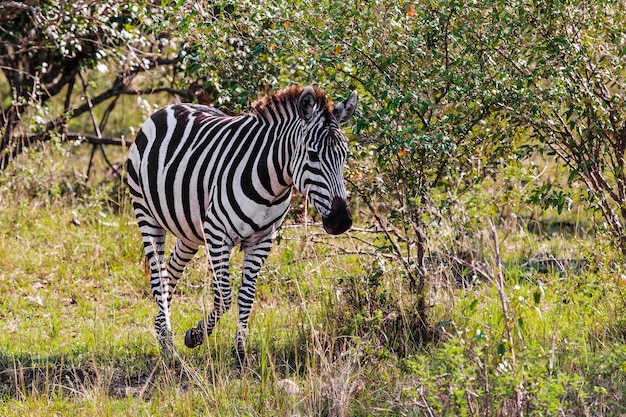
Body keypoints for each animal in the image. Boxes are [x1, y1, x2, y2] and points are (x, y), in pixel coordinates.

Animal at [125, 84, 356, 364]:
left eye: (344, 156)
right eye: (312, 155)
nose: (341, 221)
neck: (272, 186)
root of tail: (169, 107)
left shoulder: (262, 239)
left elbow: (246, 296)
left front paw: (240, 352)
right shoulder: (217, 233)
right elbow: (224, 297)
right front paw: (195, 336)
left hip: (190, 230)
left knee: (170, 273)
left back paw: (162, 333)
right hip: (147, 214)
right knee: (159, 278)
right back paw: (169, 347)